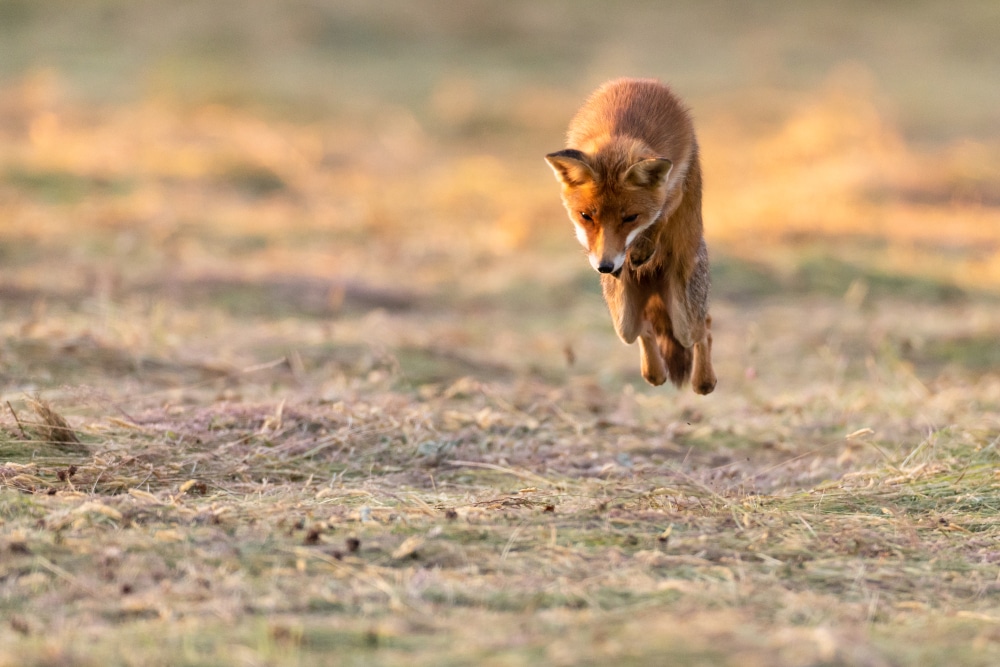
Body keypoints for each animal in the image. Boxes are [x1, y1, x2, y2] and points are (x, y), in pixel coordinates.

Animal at [545, 78, 716, 394]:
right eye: (586, 216)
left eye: (630, 218)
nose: (606, 266)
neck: (620, 124)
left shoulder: (674, 184)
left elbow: (661, 215)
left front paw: (642, 248)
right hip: (623, 320)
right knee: (644, 330)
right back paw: (654, 373)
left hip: (684, 319)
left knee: (704, 328)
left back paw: (704, 381)